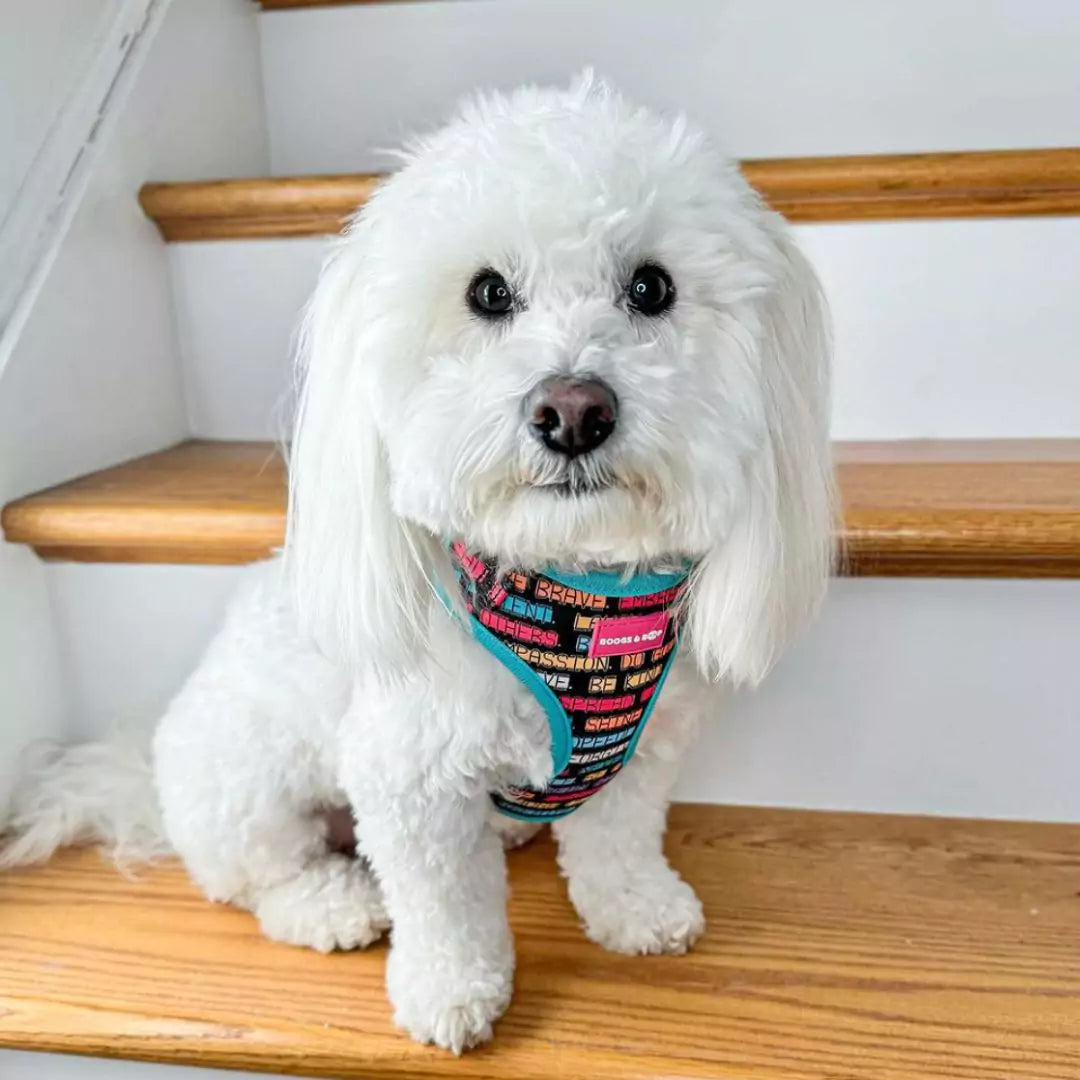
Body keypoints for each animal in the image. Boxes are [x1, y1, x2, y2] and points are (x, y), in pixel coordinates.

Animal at [2, 78, 833, 1054]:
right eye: (488, 293)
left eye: (652, 286)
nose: (573, 410)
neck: (573, 602)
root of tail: (142, 780)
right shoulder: (408, 780)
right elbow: (446, 907)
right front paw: (451, 990)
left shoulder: (641, 755)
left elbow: (617, 840)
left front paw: (635, 908)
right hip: (242, 782)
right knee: (258, 876)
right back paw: (333, 904)